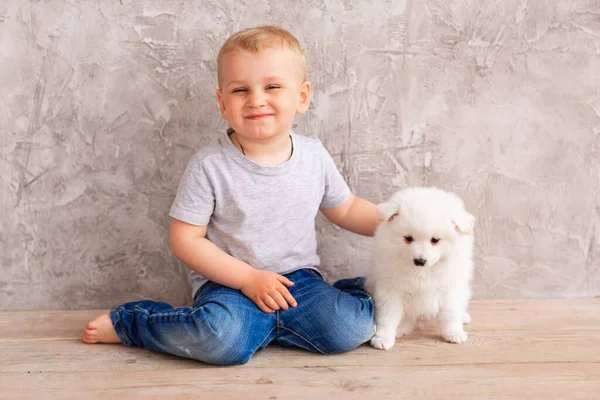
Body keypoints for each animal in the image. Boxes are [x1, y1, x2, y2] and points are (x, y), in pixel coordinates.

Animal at [368, 186, 476, 348]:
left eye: (435, 240)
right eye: (408, 238)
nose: (420, 261)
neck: (423, 272)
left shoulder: (450, 289)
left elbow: (450, 313)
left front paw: (454, 333)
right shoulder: (391, 289)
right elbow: (387, 316)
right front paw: (383, 337)